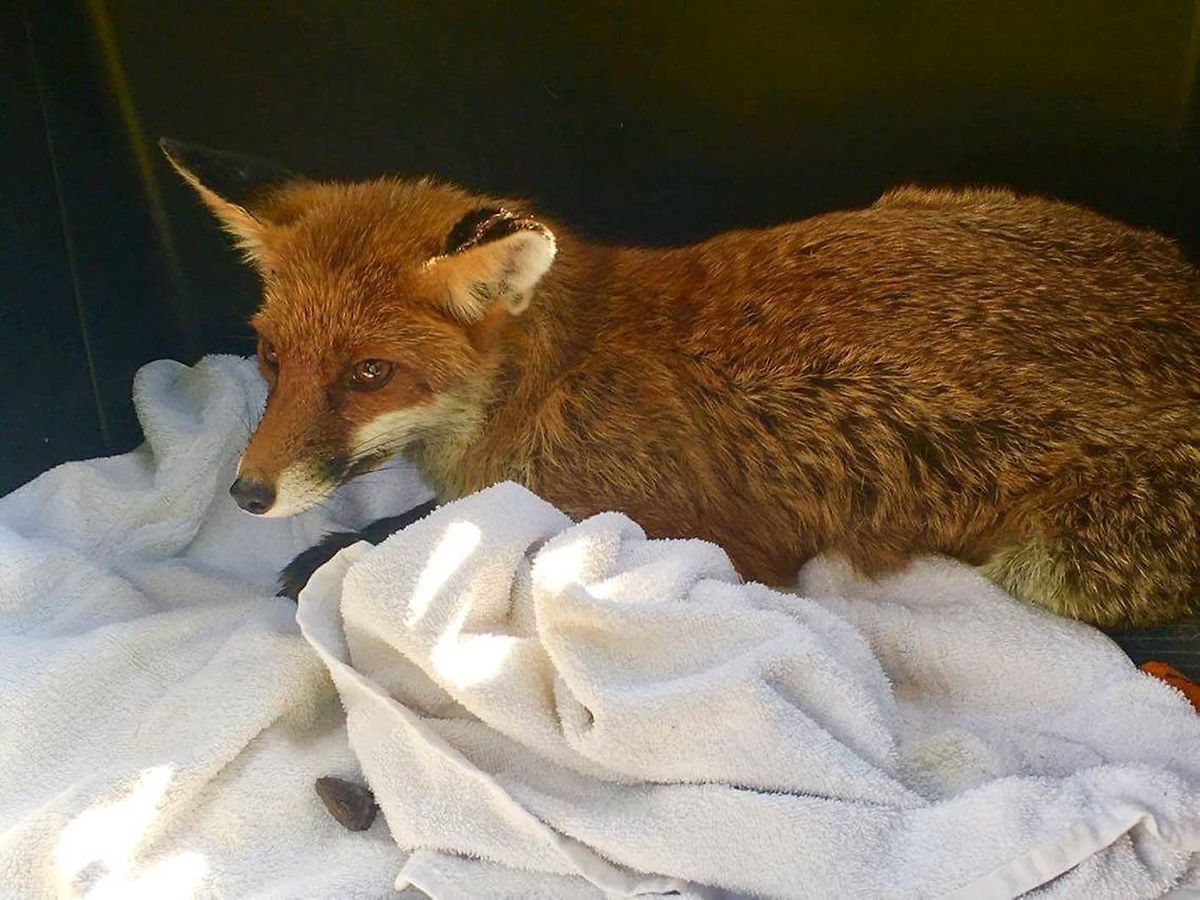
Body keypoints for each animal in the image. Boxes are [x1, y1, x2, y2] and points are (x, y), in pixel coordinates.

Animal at [160, 138, 1200, 628]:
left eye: (370, 373)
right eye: (270, 357)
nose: (247, 494)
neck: (554, 377)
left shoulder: (691, 532)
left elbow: (447, 525)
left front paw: (334, 556)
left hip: (1056, 568)